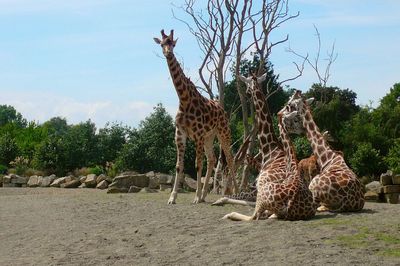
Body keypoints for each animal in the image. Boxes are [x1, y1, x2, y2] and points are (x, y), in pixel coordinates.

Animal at [154, 29, 238, 204]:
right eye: (162, 43)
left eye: (172, 43)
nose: (168, 53)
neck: (184, 99)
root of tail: (222, 109)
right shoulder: (180, 133)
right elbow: (179, 166)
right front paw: (173, 197)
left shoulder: (198, 134)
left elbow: (197, 164)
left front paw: (196, 197)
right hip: (209, 136)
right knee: (212, 158)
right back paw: (205, 195)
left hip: (223, 132)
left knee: (229, 158)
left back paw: (235, 191)